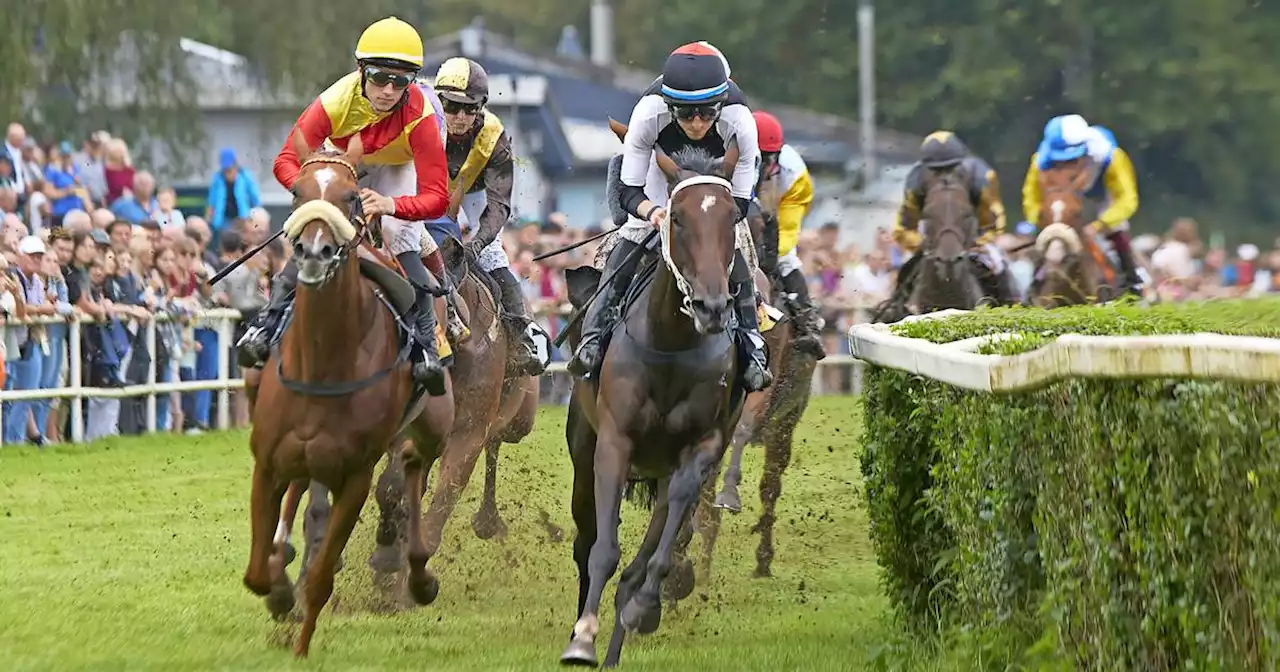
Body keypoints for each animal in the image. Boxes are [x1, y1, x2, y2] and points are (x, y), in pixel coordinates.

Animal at [240, 136, 455, 655]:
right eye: (296, 192)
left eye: (352, 196)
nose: (314, 252)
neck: (322, 362)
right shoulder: (268, 462)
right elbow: (258, 572)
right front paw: (280, 589)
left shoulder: (354, 475)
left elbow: (320, 577)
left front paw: (300, 648)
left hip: (436, 425)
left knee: (415, 468)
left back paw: (418, 576)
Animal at [560, 132, 747, 665]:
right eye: (677, 217)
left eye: (733, 216)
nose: (711, 306)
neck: (670, 345)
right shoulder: (614, 441)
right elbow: (602, 549)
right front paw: (582, 637)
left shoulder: (700, 447)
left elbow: (653, 554)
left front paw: (642, 608)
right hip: (582, 447)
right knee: (586, 540)